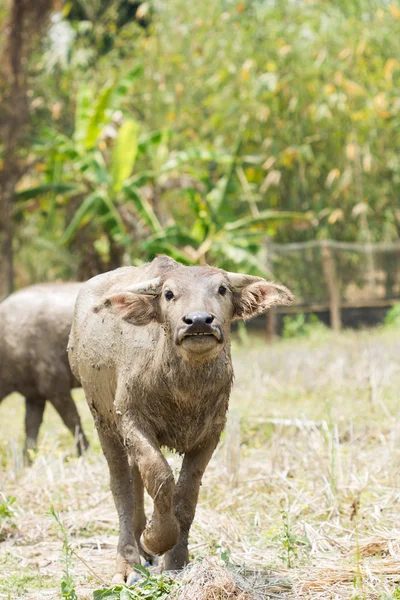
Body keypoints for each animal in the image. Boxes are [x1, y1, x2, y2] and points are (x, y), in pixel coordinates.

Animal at [0, 284, 89, 458]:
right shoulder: (34, 396)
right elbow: (30, 430)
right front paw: (28, 461)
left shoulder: (56, 388)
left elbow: (72, 420)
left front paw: (84, 453)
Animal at [68, 255, 294, 584]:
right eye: (169, 294)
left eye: (222, 289)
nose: (199, 321)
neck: (183, 388)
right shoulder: (131, 420)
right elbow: (160, 476)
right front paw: (156, 538)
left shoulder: (211, 433)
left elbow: (186, 494)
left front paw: (175, 561)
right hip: (103, 421)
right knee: (121, 485)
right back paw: (128, 562)